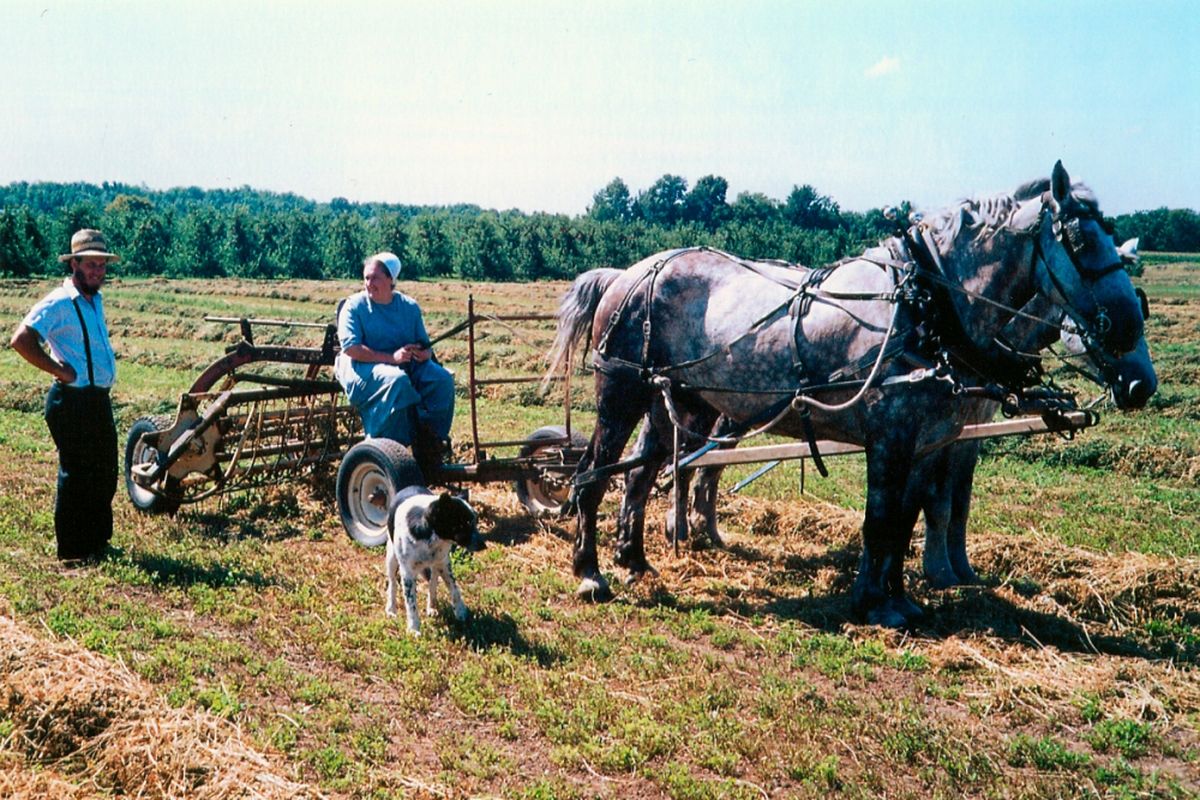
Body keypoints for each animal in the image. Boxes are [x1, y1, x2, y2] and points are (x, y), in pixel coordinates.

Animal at [381, 484, 480, 633]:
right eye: (464, 523)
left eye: (474, 522)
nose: (483, 545)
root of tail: (409, 486)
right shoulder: (407, 573)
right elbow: (411, 602)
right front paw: (414, 628)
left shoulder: (444, 563)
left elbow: (455, 590)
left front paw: (460, 612)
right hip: (392, 558)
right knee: (392, 583)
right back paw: (391, 609)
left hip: (436, 565)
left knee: (433, 583)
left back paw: (432, 607)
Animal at [549, 160, 1152, 623]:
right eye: (1080, 240)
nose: (1141, 378)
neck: (926, 306)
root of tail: (626, 273)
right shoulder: (891, 435)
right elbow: (880, 518)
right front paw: (875, 603)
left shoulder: (931, 439)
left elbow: (907, 521)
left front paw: (900, 598)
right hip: (620, 390)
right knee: (593, 475)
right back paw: (590, 573)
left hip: (679, 402)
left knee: (642, 472)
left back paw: (634, 560)